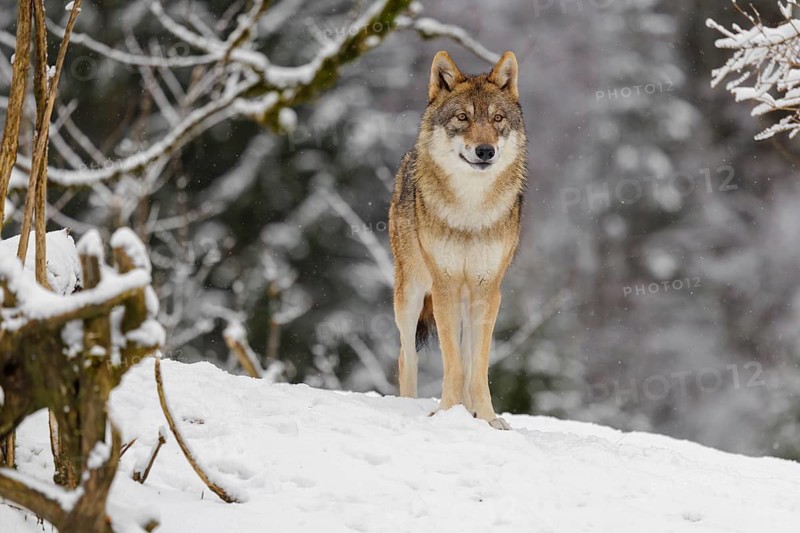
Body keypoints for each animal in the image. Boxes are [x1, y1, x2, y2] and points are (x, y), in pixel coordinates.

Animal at [389, 51, 527, 430]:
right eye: (463, 117)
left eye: (497, 119)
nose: (485, 151)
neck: (470, 210)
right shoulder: (444, 285)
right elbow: (452, 363)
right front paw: (445, 414)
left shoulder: (488, 289)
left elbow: (475, 367)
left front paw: (490, 419)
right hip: (409, 296)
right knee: (406, 357)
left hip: (468, 298)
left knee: (466, 360)